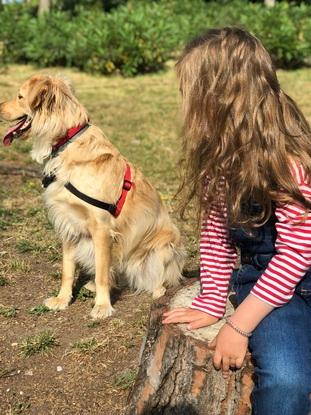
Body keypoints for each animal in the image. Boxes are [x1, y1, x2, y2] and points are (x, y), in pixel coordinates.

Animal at [0, 76, 185, 320]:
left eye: (20, 97)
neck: (66, 142)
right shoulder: (68, 223)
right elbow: (68, 269)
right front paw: (62, 299)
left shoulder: (102, 228)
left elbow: (102, 274)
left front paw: (102, 306)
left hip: (165, 245)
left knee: (162, 276)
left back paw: (157, 289)